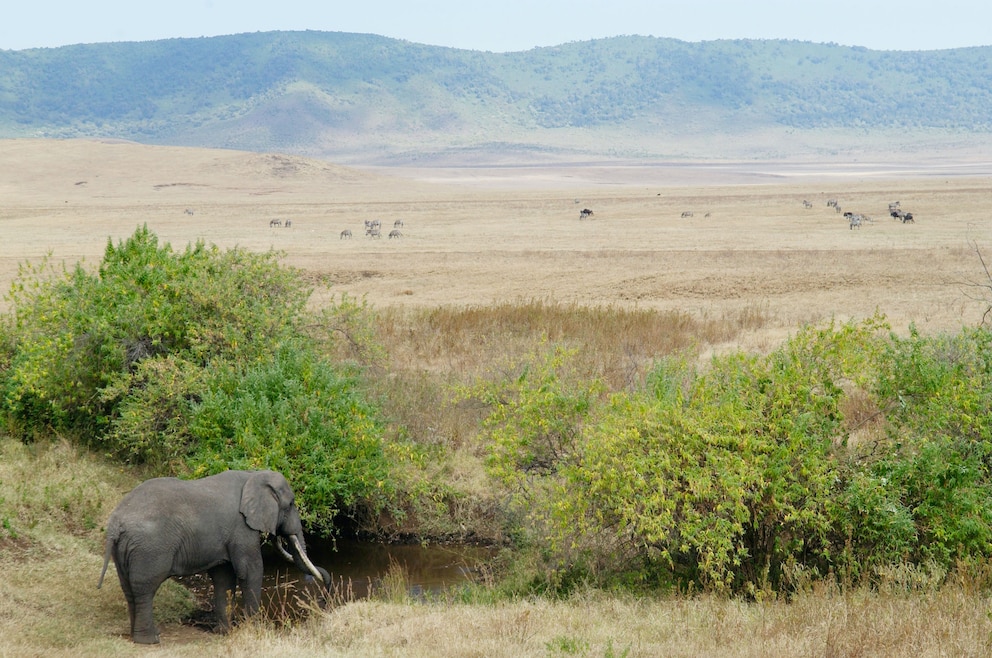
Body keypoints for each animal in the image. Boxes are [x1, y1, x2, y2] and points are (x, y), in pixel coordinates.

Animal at [97, 468, 330, 644]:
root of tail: (115, 523)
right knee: (145, 588)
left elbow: (223, 578)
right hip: (149, 548)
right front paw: (255, 630)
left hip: (126, 549)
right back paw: (150, 640)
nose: (324, 598)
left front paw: (224, 633)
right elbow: (250, 571)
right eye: (290, 504)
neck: (253, 474)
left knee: (129, 588)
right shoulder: (241, 528)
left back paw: (138, 636)